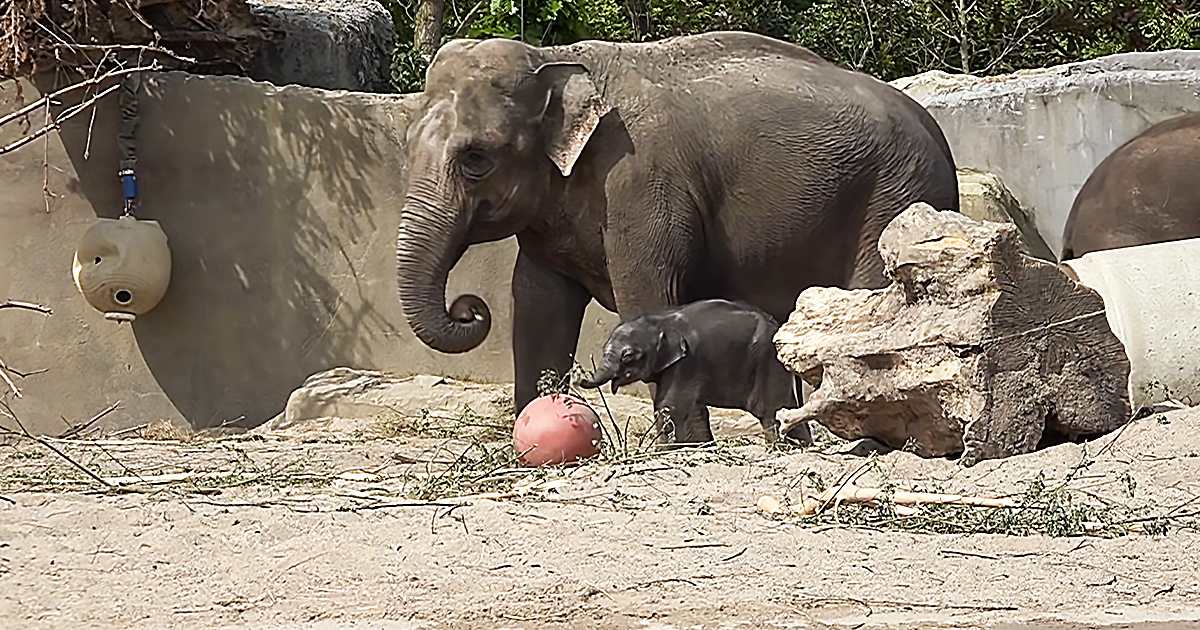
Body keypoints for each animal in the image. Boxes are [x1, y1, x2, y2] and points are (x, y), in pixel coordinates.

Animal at [394, 31, 961, 421]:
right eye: (406, 145)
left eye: (475, 158)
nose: (468, 307)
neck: (552, 56)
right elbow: (538, 303)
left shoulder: (641, 186)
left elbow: (645, 293)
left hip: (894, 199)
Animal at [578, 299, 813, 448]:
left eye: (627, 356)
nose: (579, 376)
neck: (661, 321)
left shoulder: (687, 362)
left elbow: (670, 405)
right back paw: (802, 446)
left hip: (766, 361)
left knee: (769, 410)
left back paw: (777, 448)